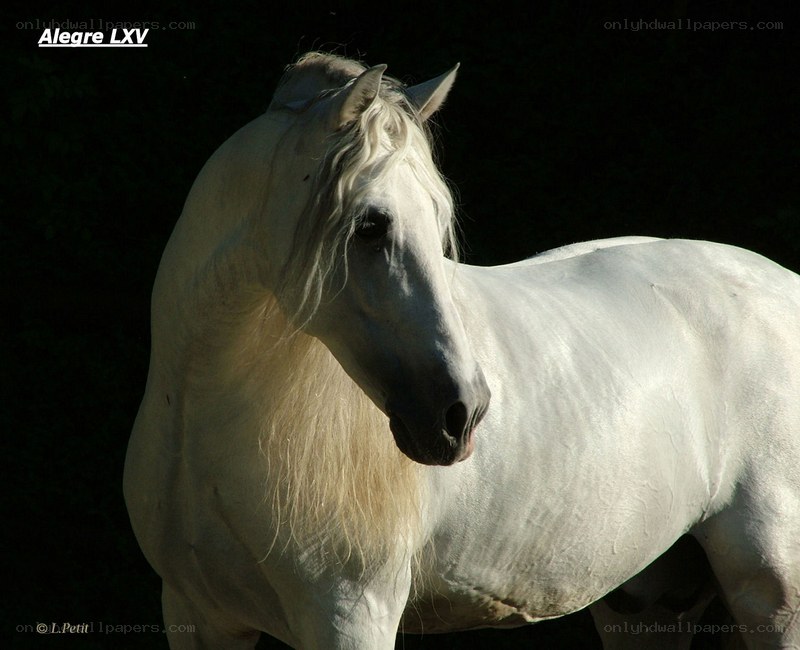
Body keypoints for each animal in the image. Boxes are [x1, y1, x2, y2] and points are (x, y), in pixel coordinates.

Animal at [124, 52, 800, 649]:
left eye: (435, 218)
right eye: (370, 225)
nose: (461, 414)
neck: (205, 421)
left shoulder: (350, 615)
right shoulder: (196, 616)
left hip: (774, 597)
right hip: (647, 604)